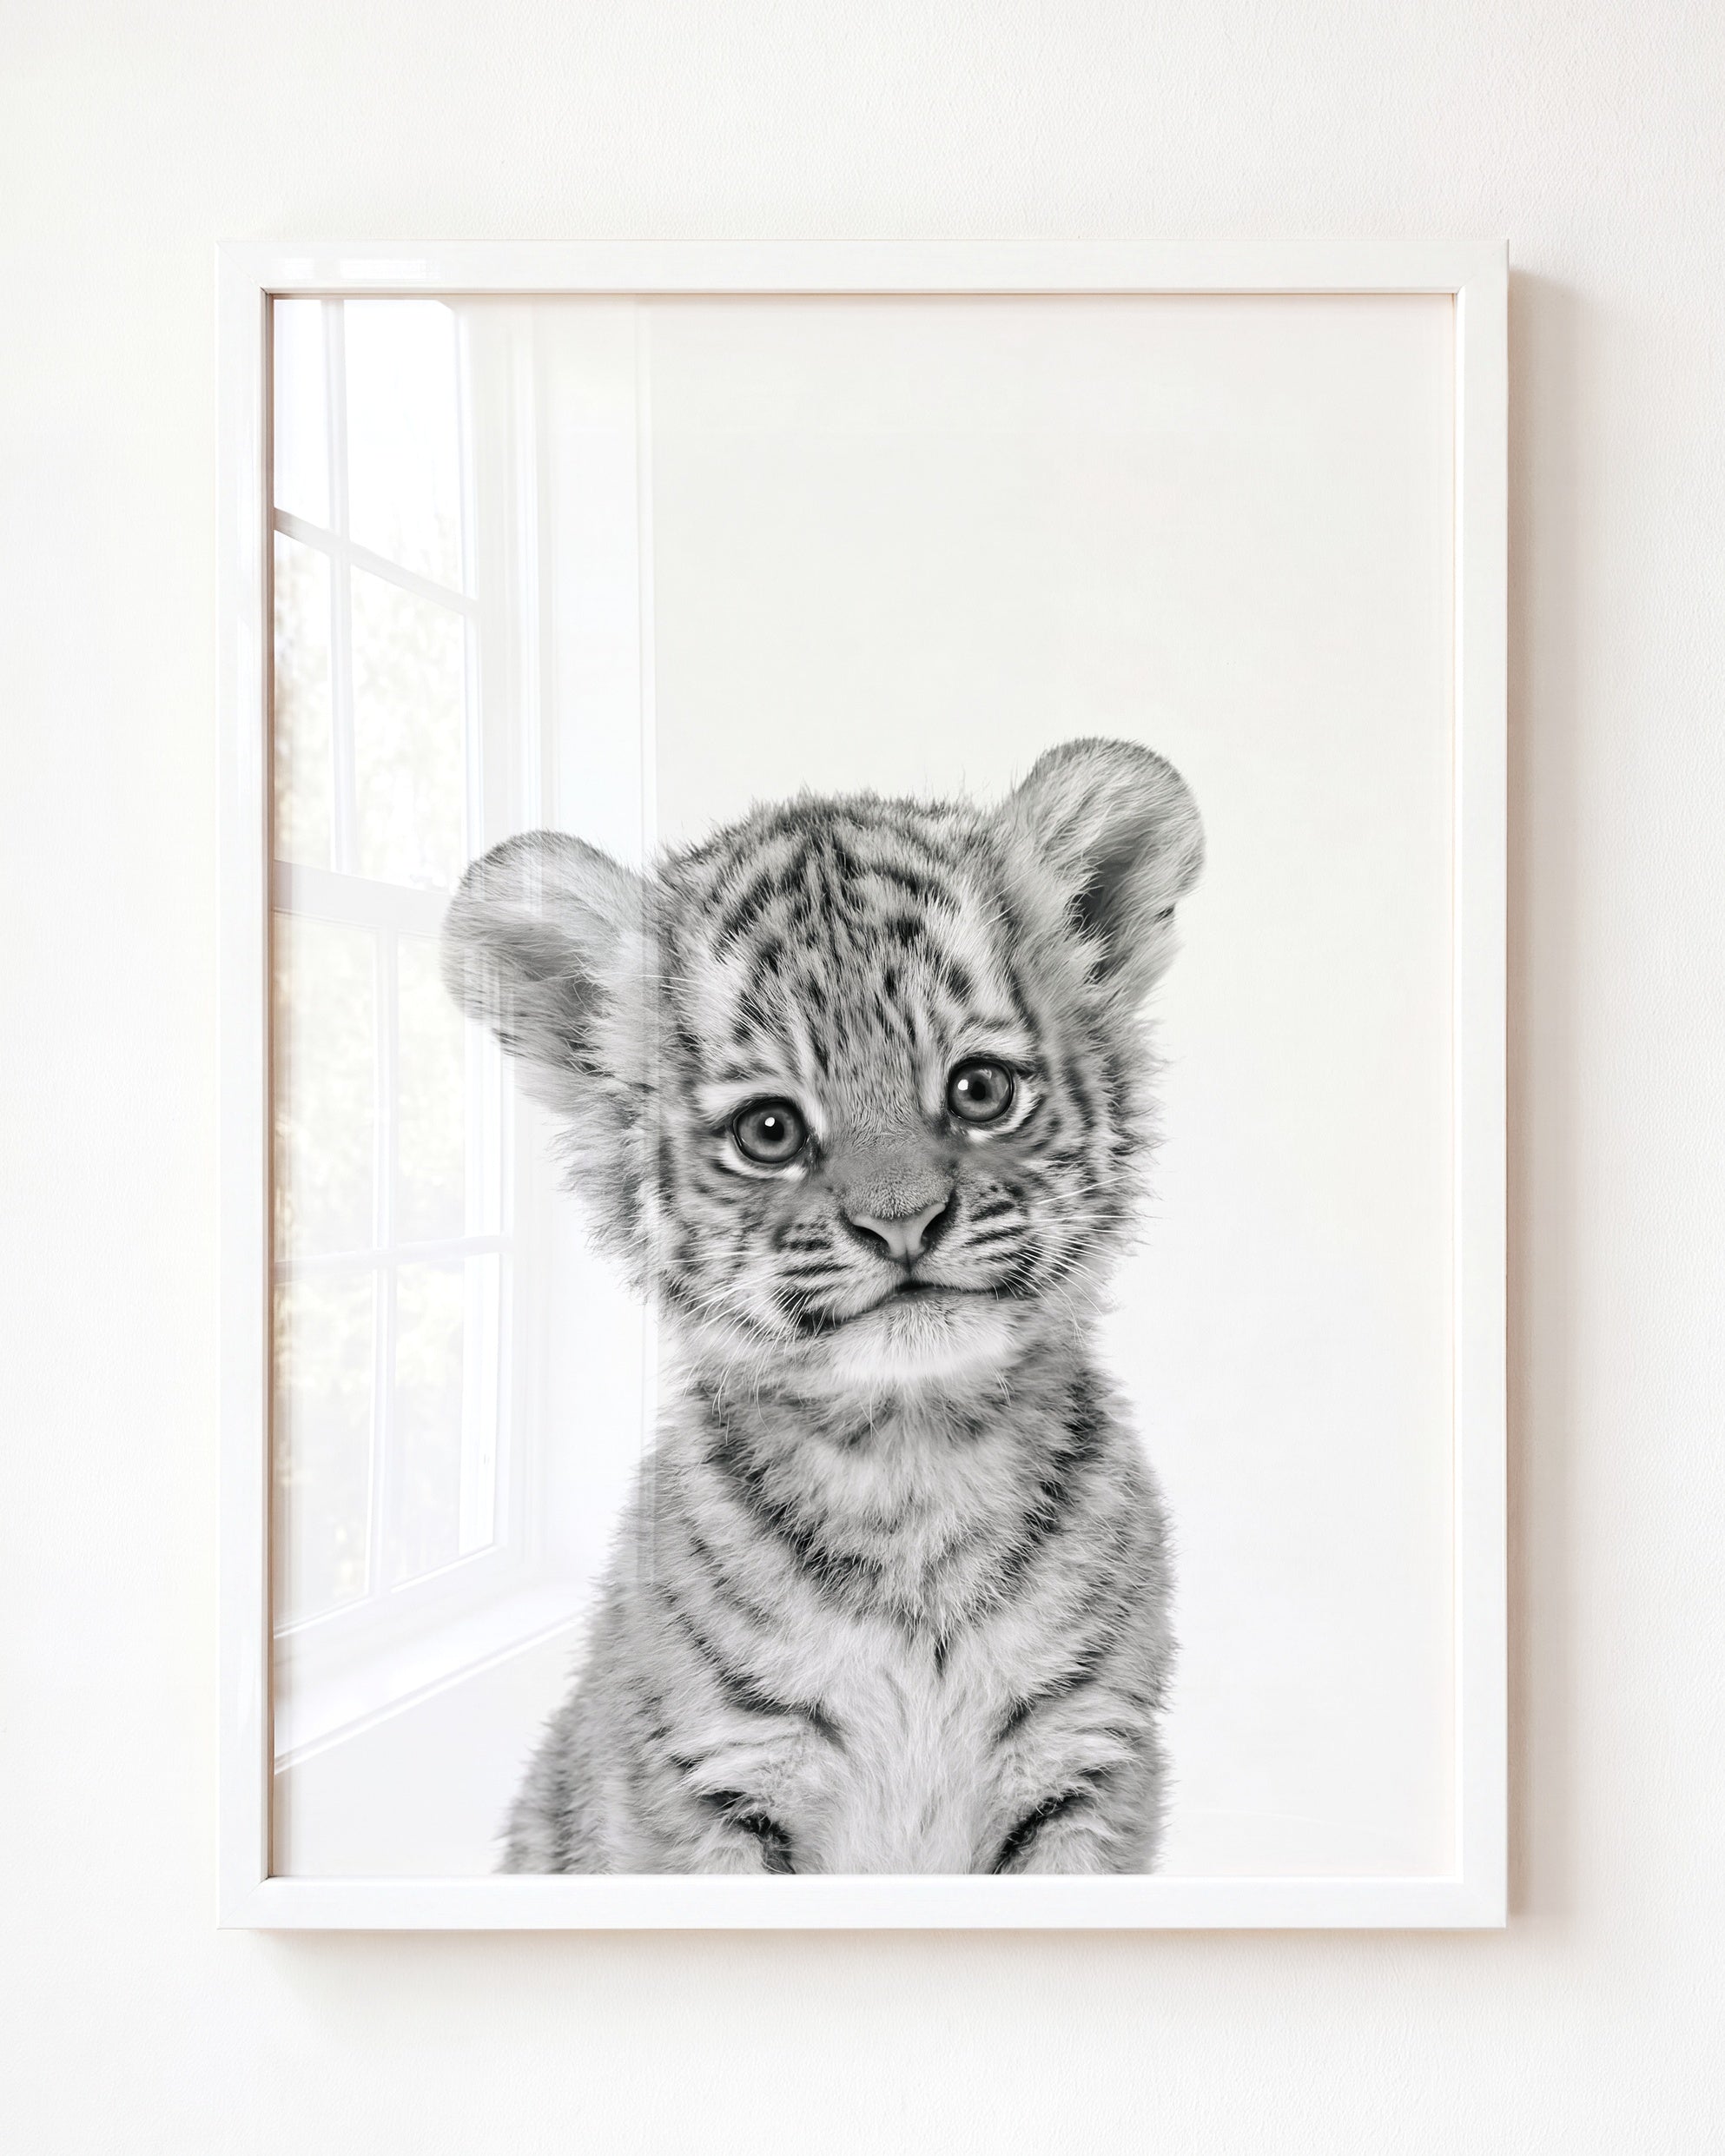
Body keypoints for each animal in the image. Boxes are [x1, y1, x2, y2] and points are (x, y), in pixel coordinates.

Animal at [442, 736, 1204, 1873]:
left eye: (981, 1090)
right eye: (769, 1130)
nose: (903, 1223)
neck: (914, 1467)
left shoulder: (1086, 1763)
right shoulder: (711, 1781)